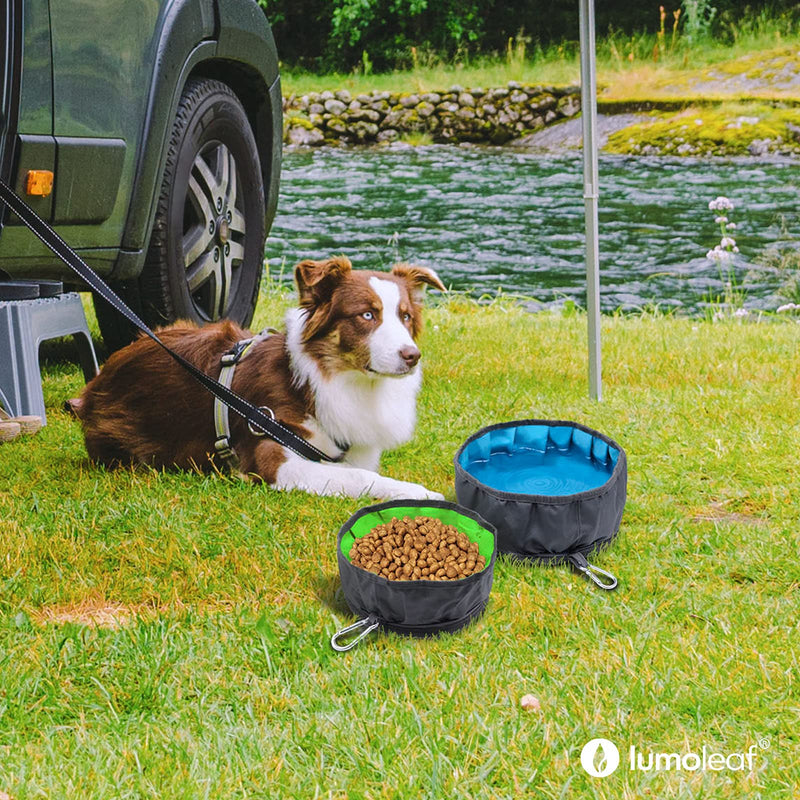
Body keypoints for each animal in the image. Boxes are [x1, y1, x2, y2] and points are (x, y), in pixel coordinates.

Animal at [71, 258, 446, 500]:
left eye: (406, 317)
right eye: (366, 315)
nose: (412, 356)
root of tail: (94, 388)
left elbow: (362, 469)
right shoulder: (272, 456)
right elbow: (360, 476)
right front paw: (418, 492)